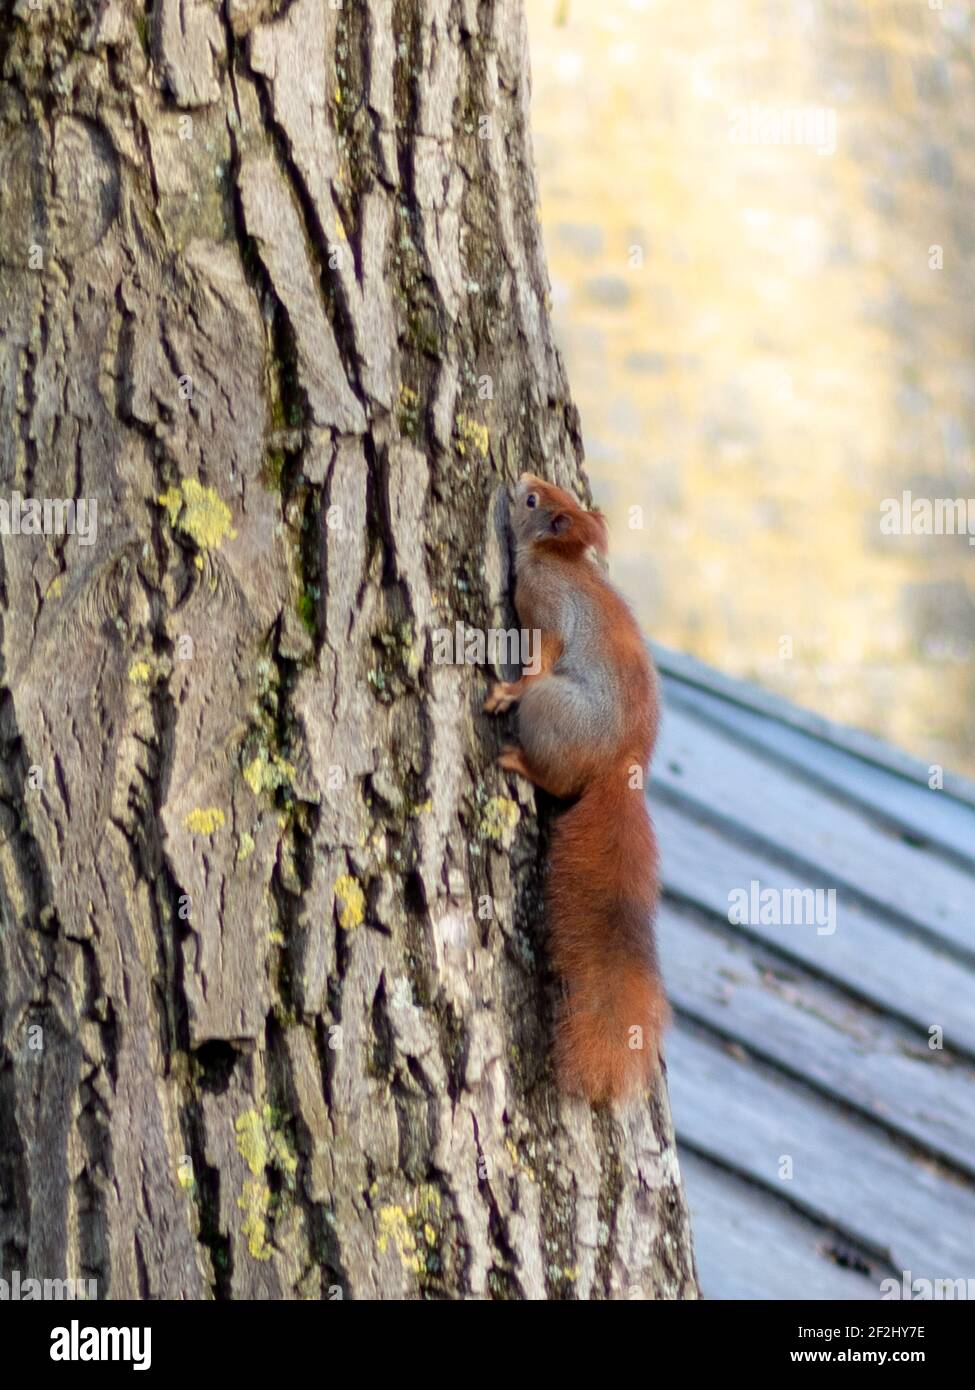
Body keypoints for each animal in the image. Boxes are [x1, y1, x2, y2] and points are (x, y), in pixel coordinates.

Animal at [481, 478, 670, 1106]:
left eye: (534, 503)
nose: (520, 479)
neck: (556, 559)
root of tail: (621, 767)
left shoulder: (544, 611)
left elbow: (539, 658)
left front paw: (508, 691)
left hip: (555, 713)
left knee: (553, 775)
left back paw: (517, 758)